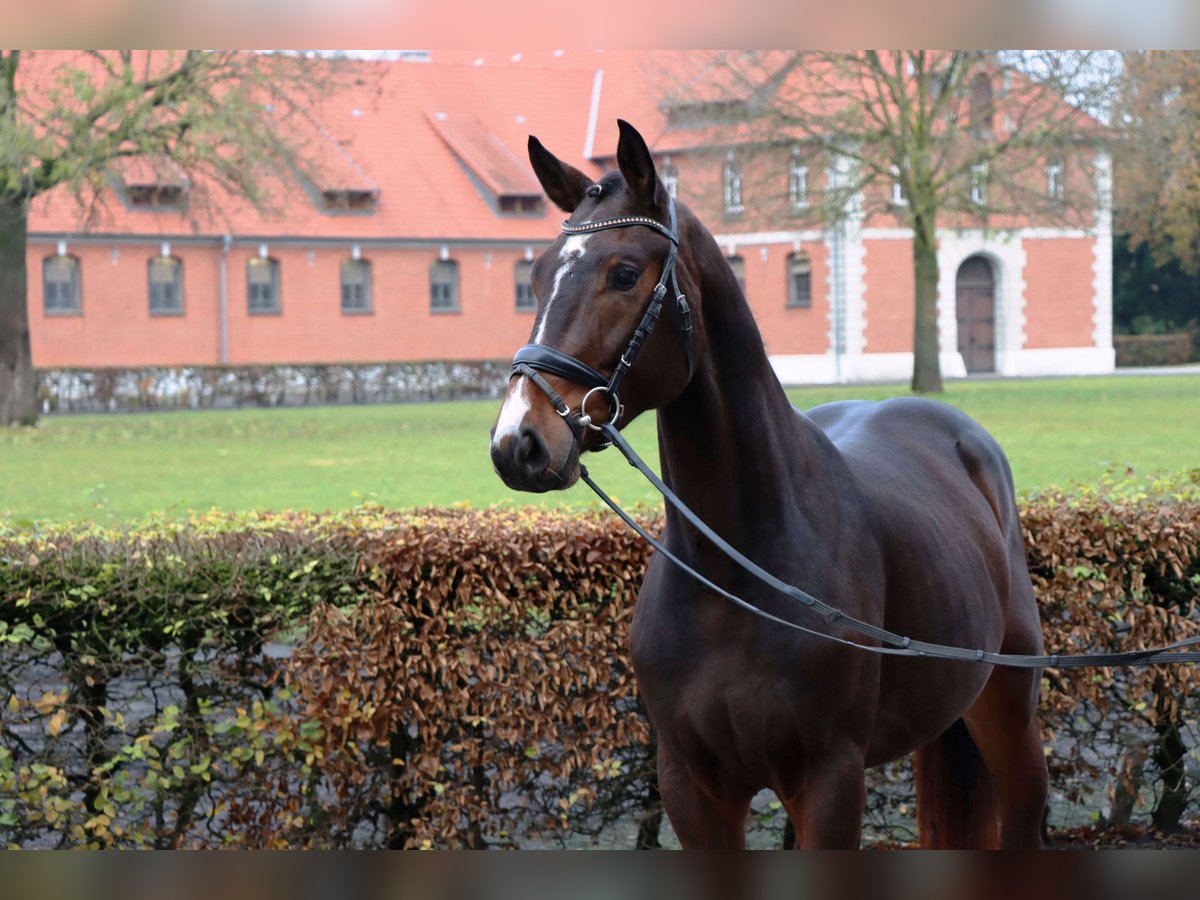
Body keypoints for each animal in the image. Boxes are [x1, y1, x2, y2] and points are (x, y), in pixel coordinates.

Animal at [489, 121, 1051, 854]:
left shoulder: (829, 780)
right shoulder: (692, 789)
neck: (737, 574)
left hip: (1009, 714)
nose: (519, 442)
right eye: (533, 276)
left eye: (623, 273)